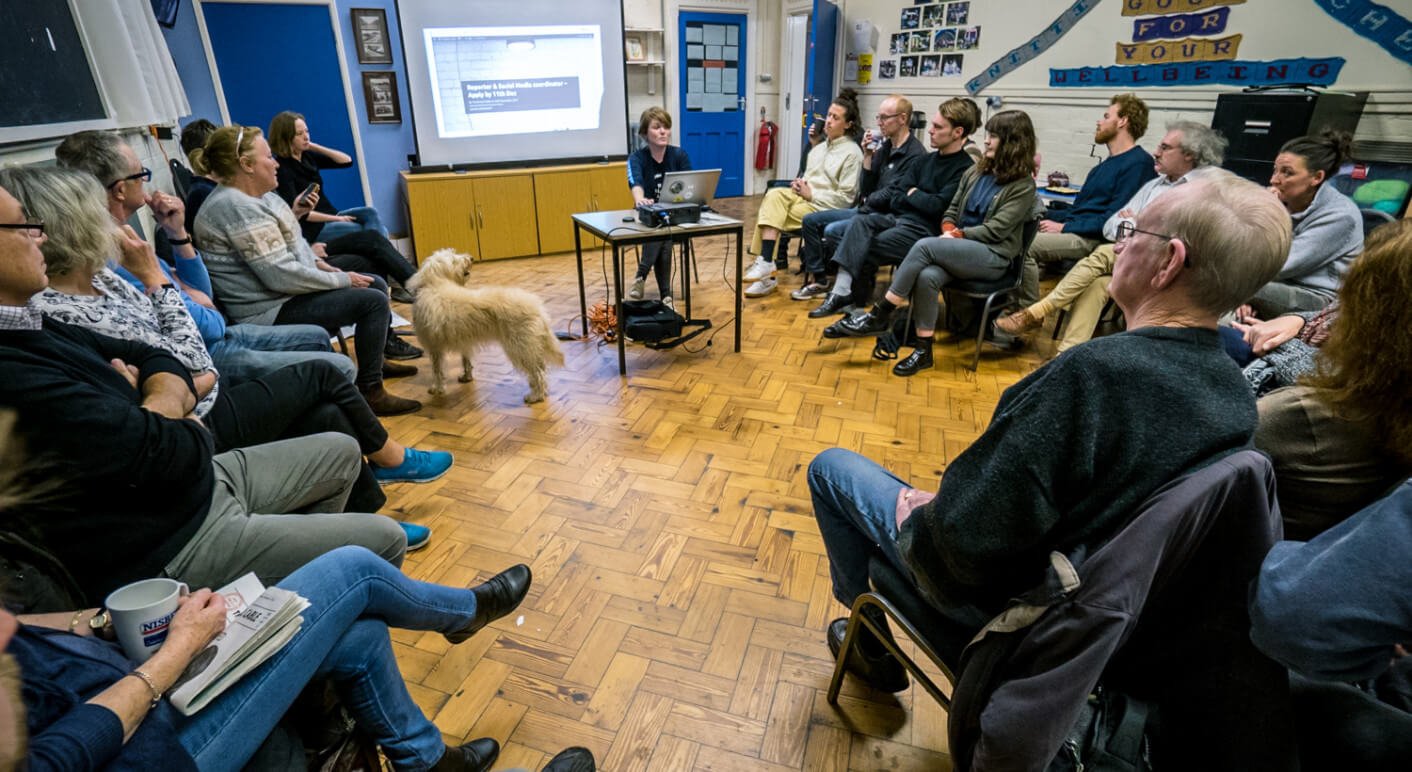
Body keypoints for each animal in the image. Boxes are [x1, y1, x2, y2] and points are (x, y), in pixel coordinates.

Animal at [406, 251, 564, 403]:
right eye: (454, 260)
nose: (471, 258)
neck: (435, 284)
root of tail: (537, 307)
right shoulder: (463, 342)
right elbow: (466, 361)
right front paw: (467, 377)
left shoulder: (434, 347)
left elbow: (437, 370)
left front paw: (437, 389)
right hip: (527, 346)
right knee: (541, 367)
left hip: (520, 347)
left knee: (537, 372)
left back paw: (535, 396)